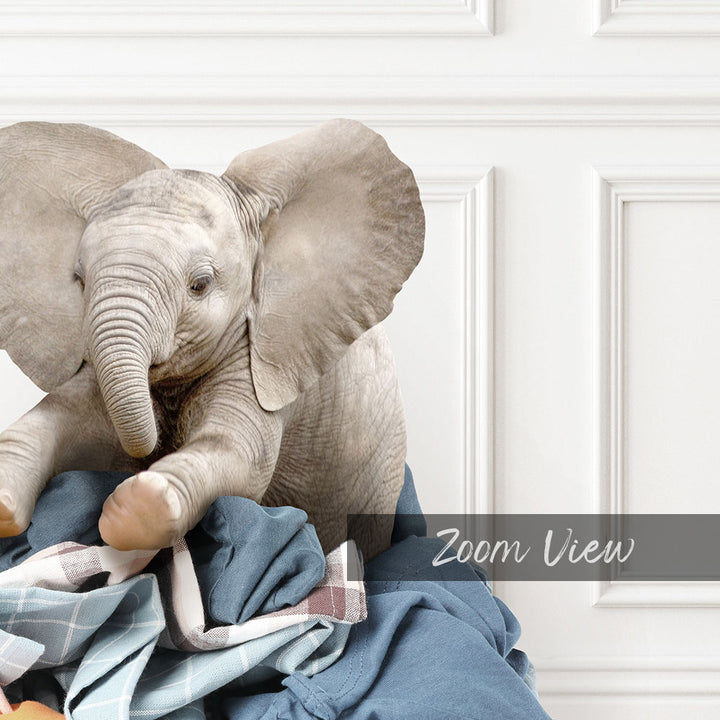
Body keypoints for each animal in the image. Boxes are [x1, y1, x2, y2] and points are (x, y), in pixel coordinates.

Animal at [0, 119, 424, 559]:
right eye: (80, 282)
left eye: (199, 285)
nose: (151, 449)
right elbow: (63, 415)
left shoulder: (268, 357)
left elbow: (240, 455)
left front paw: (131, 511)